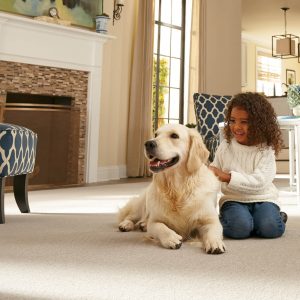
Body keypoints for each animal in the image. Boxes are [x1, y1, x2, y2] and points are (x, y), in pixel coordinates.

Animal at [117, 123, 225, 254]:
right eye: (156, 134)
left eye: (174, 135)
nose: (148, 143)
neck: (177, 188)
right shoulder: (154, 222)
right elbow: (160, 227)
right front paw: (172, 238)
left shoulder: (211, 219)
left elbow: (213, 230)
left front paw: (215, 242)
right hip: (141, 204)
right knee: (130, 216)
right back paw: (126, 224)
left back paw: (142, 224)